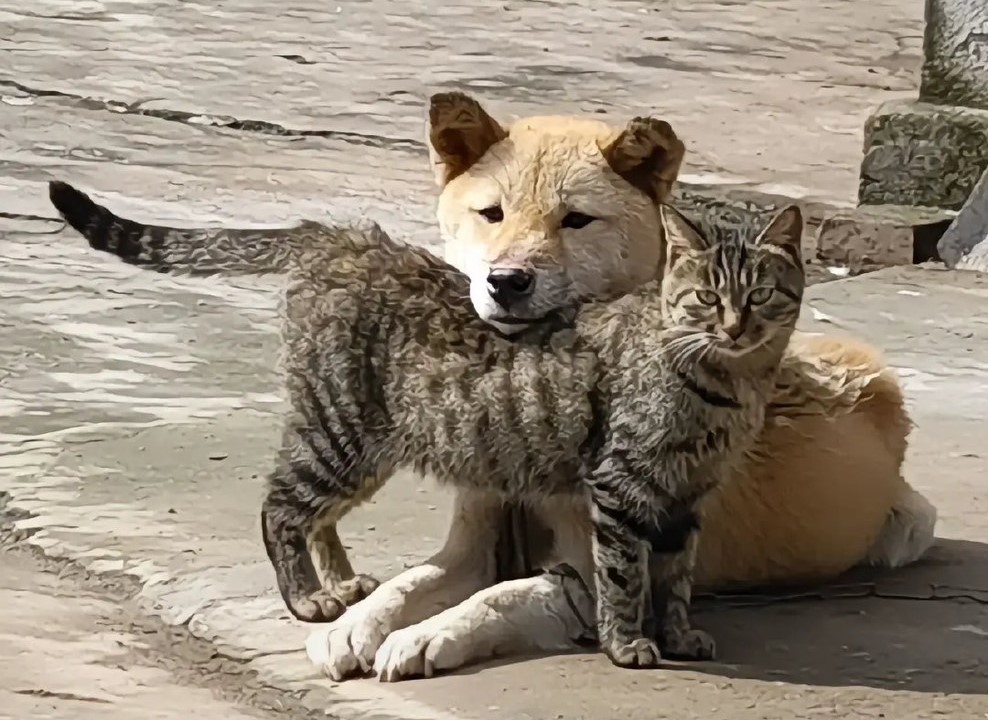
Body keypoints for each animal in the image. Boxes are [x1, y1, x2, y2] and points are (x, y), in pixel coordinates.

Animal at [302, 94, 932, 680]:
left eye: (575, 220)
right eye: (491, 213)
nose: (505, 282)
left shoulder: (589, 571)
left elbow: (501, 596)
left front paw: (427, 635)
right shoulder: (473, 546)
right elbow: (412, 581)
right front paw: (355, 624)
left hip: (909, 525)